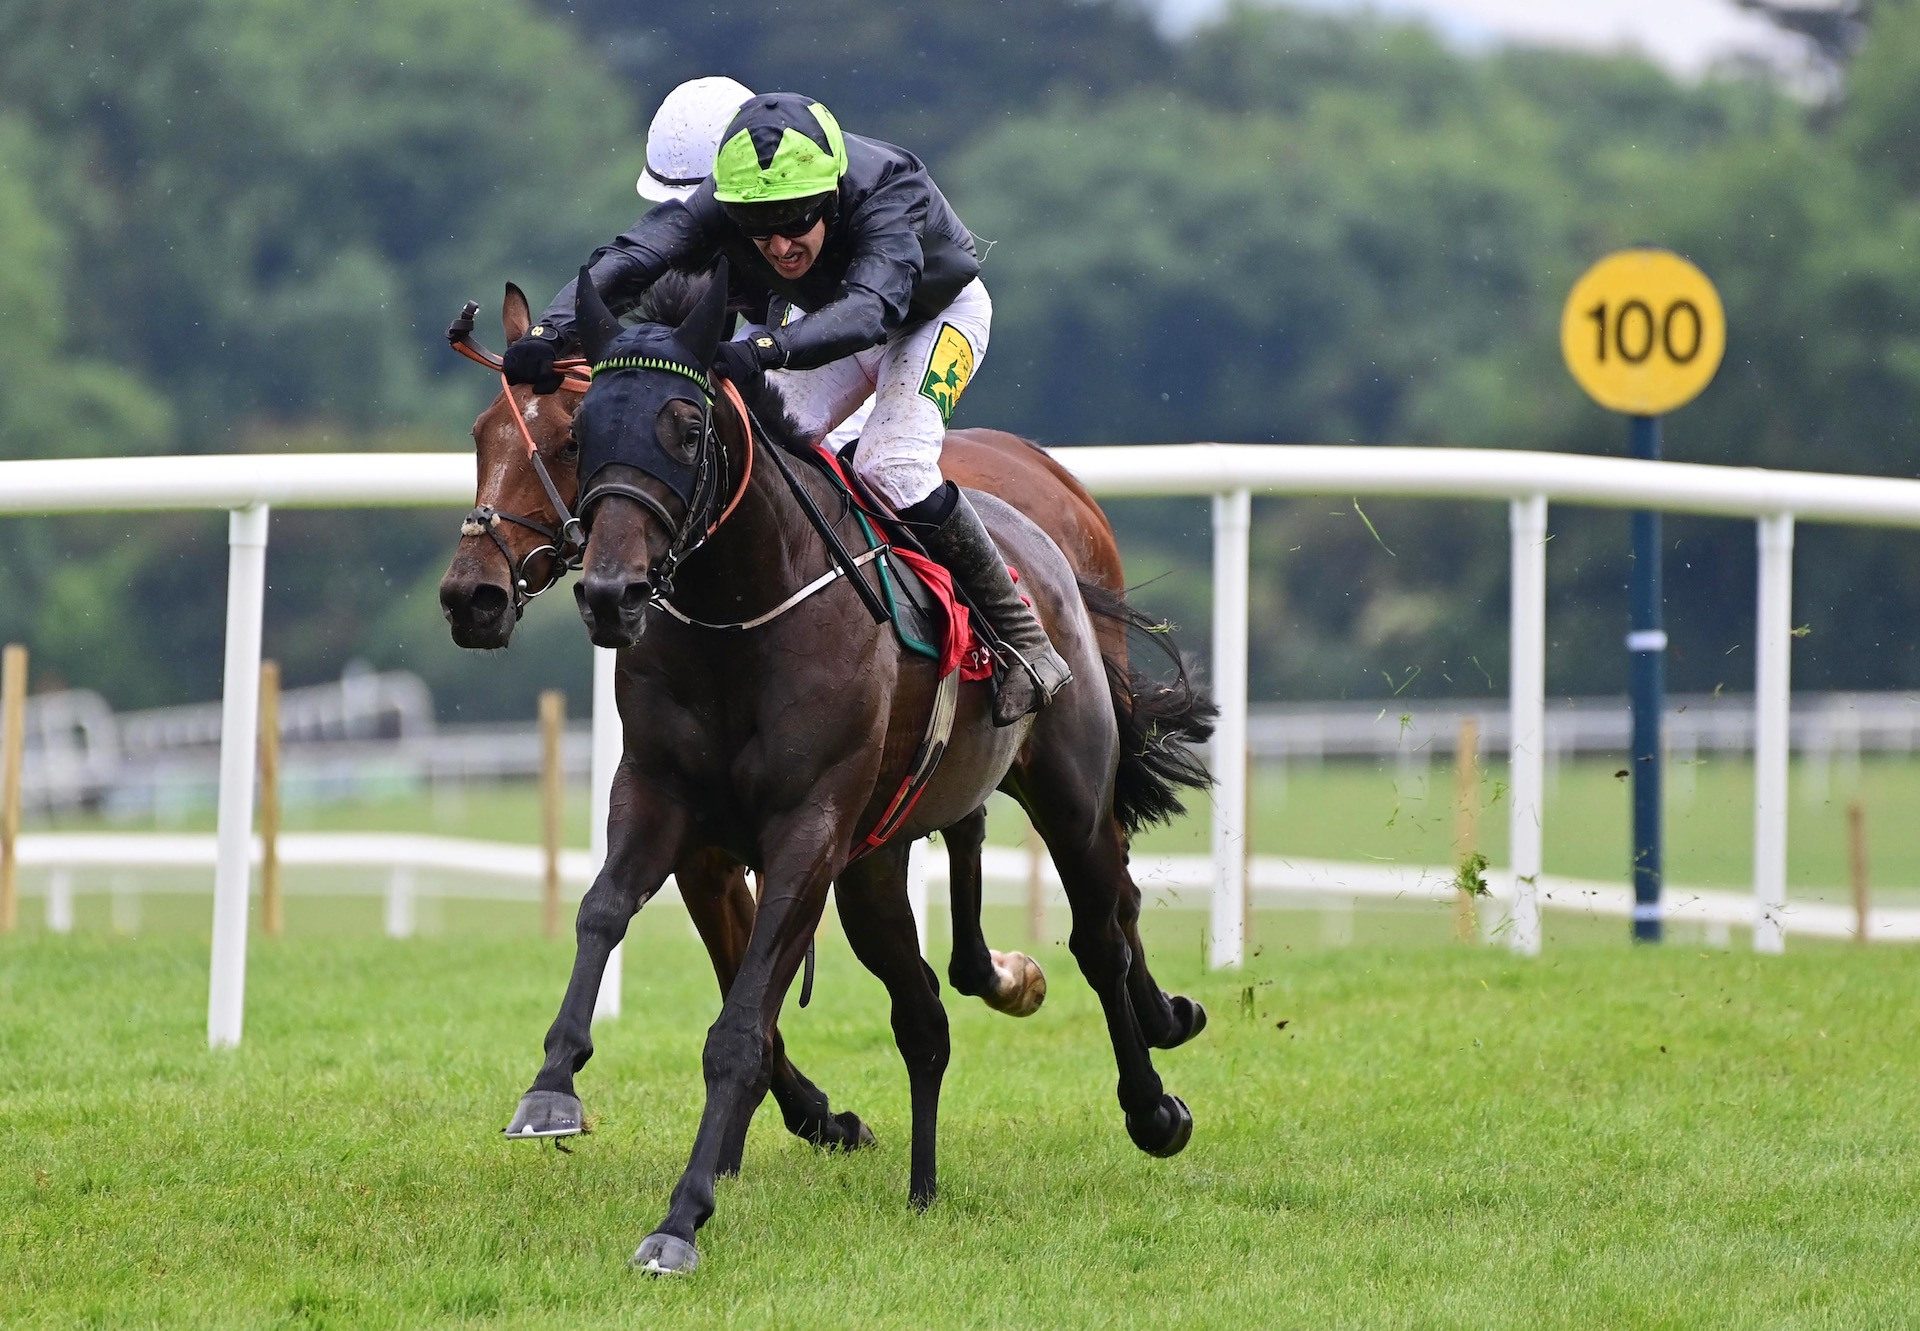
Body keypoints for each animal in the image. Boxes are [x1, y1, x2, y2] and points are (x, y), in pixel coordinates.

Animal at [556, 266, 1213, 1267]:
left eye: (687, 425)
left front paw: (681, 1217)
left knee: (1103, 930)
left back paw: (1153, 1103)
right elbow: (600, 911)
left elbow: (740, 1028)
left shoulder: (807, 832)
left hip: (1066, 792)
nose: (609, 592)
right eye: (581, 432)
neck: (741, 614)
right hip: (875, 866)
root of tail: (1045, 532)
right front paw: (551, 1086)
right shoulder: (662, 799)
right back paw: (925, 1183)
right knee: (927, 1014)